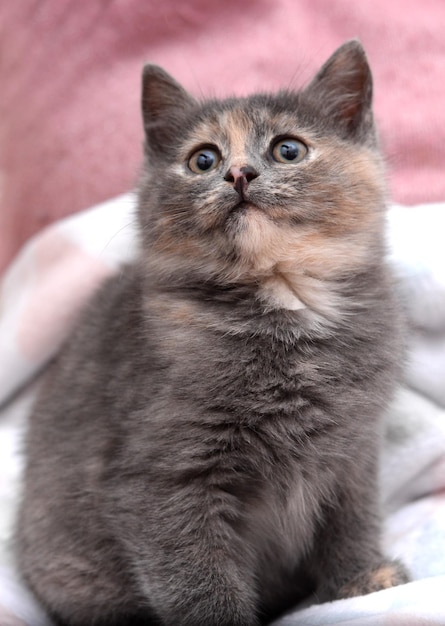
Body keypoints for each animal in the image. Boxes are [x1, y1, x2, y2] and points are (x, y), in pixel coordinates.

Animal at [15, 40, 408, 624]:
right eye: (203, 159)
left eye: (288, 150)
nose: (239, 174)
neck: (283, 304)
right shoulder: (166, 475)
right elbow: (196, 576)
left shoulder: (353, 449)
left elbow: (352, 520)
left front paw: (361, 580)